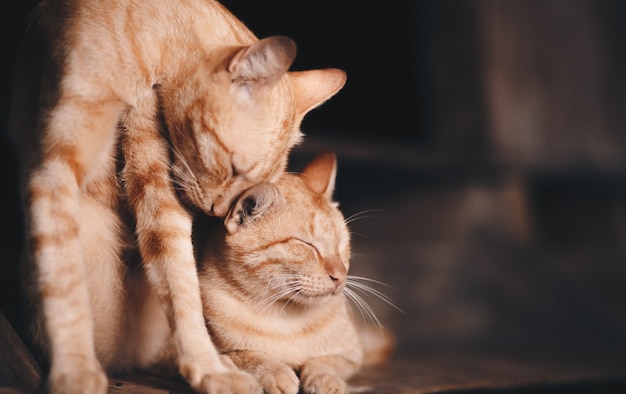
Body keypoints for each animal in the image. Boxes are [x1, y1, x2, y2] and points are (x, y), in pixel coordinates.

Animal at [8, 1, 346, 392]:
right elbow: (64, 287)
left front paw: (208, 367)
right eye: (233, 167)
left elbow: (181, 287)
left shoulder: (156, 185)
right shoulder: (55, 164)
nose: (219, 212)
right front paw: (75, 370)